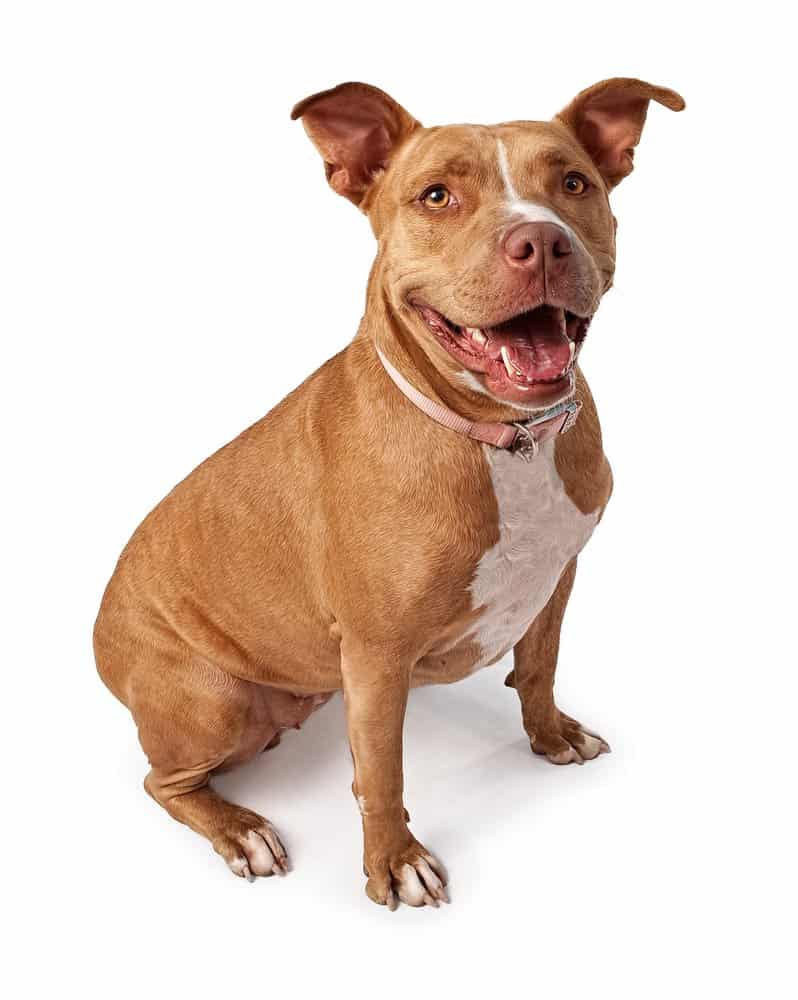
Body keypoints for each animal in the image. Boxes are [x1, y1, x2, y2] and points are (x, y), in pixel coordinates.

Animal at [97, 78, 688, 908]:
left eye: (575, 184)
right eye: (436, 196)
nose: (541, 242)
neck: (504, 438)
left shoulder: (559, 575)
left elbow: (538, 668)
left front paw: (550, 736)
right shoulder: (377, 656)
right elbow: (382, 772)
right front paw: (395, 862)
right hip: (210, 698)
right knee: (163, 782)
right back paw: (240, 830)